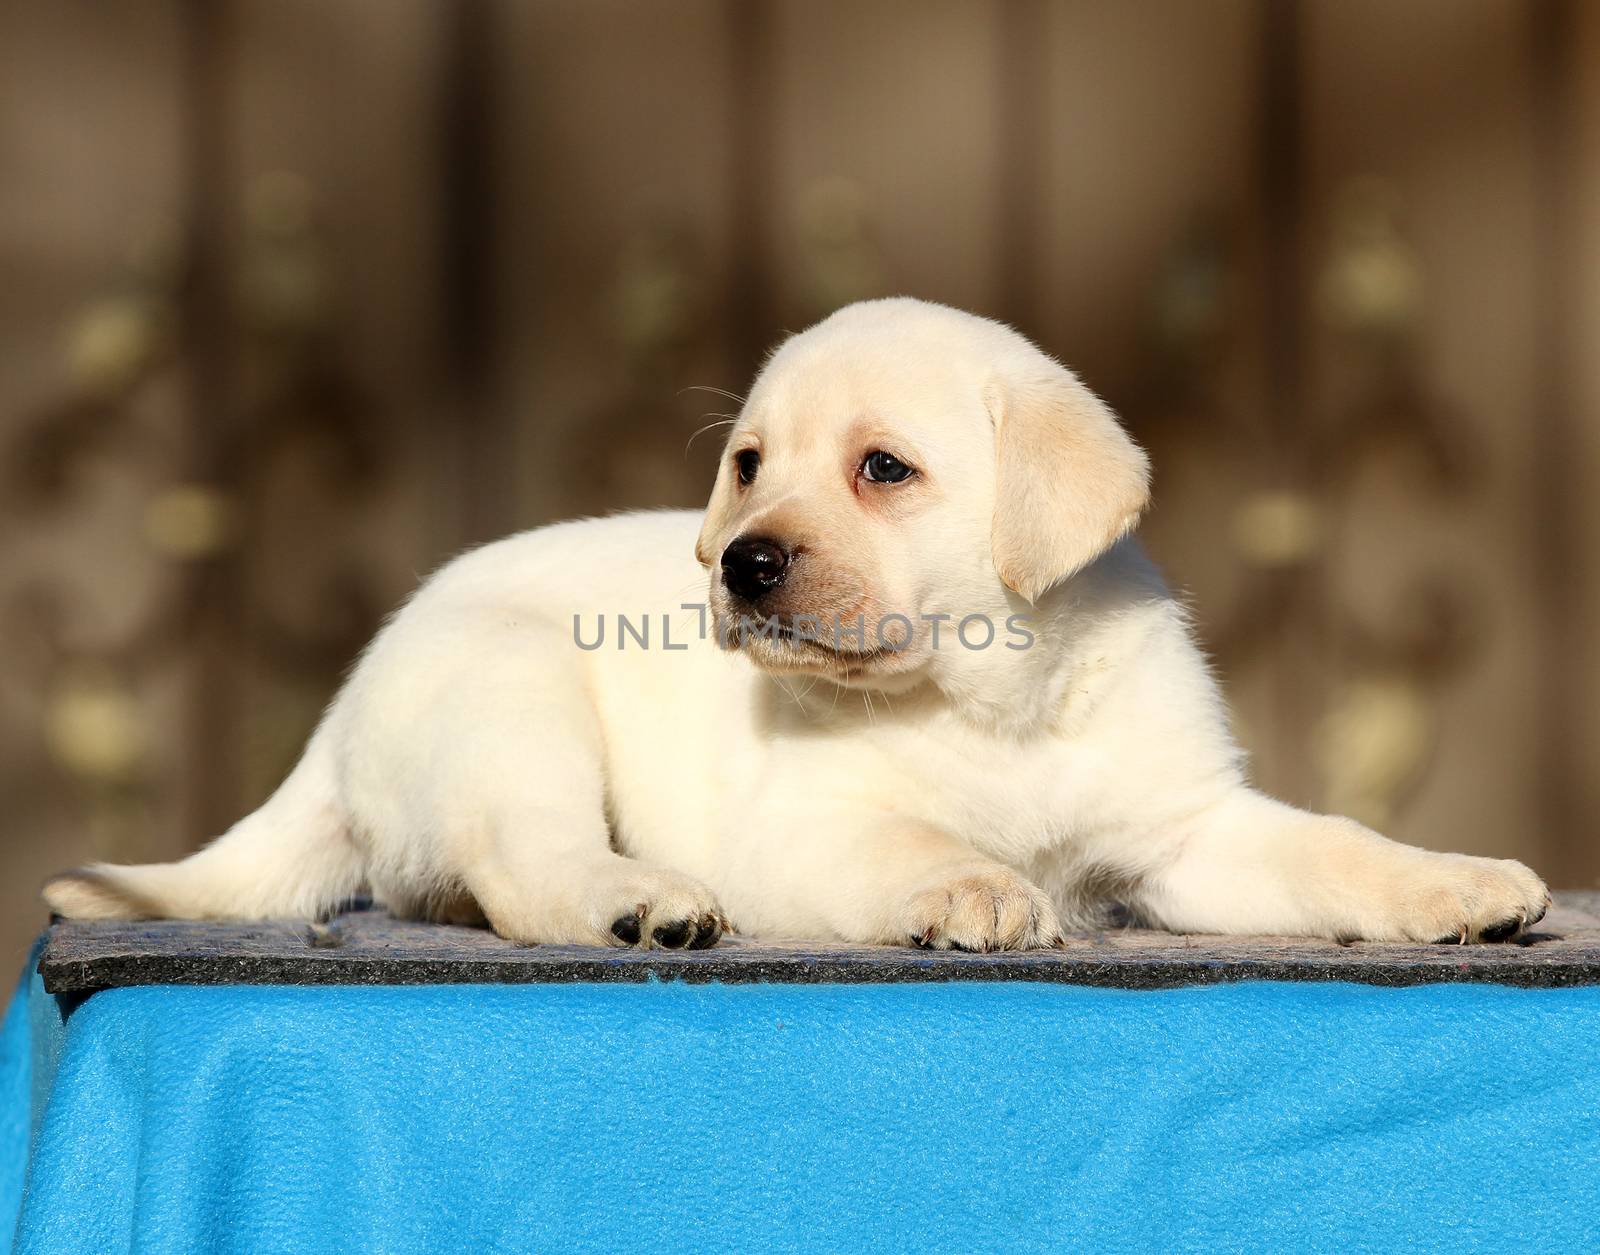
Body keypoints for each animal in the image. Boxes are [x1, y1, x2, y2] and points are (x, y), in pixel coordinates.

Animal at [46, 299, 1548, 954]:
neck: (985, 694)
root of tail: (343, 709)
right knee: (523, 865)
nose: (744, 562)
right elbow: (912, 841)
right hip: (510, 693)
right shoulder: (799, 835)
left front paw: (1458, 883)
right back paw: (637, 902)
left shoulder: (1187, 831)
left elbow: (1336, 848)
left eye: (883, 468)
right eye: (750, 463)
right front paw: (976, 887)